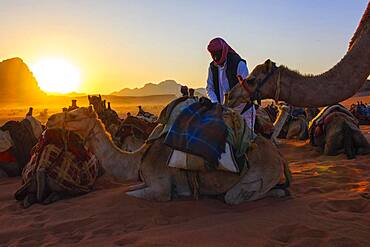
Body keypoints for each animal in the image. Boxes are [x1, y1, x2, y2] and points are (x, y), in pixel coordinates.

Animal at [46, 107, 290, 206]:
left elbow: (132, 195)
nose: (50, 120)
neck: (138, 158)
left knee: (236, 196)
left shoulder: (160, 190)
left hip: (260, 174)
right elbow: (128, 189)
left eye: (74, 115)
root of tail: (279, 156)